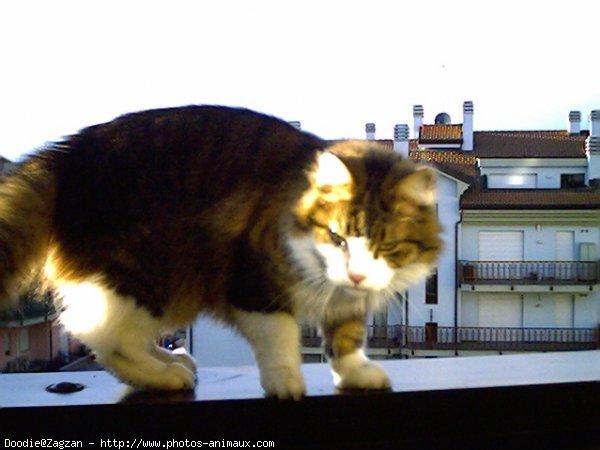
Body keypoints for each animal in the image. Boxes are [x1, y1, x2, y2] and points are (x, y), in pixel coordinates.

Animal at [0, 104, 440, 398]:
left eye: (386, 246)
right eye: (337, 238)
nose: (356, 274)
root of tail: (66, 155)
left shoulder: (344, 301)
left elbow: (346, 340)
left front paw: (355, 374)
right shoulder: (255, 284)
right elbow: (281, 339)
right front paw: (285, 381)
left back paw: (169, 361)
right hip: (142, 274)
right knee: (101, 333)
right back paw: (161, 376)